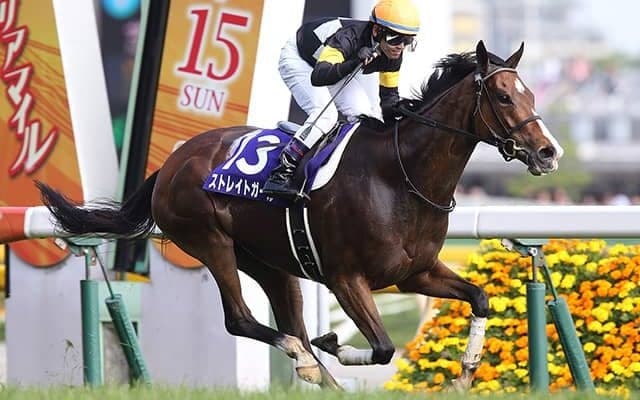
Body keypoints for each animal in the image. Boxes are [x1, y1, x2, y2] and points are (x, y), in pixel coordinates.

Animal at [36, 41, 563, 390]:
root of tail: (171, 161)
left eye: (532, 95)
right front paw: (335, 344)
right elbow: (382, 347)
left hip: (270, 263)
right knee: (244, 321)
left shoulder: (416, 272)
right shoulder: (346, 278)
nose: (548, 152)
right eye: (503, 97)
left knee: (286, 320)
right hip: (209, 241)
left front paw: (468, 370)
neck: (400, 176)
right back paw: (306, 359)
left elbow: (480, 298)